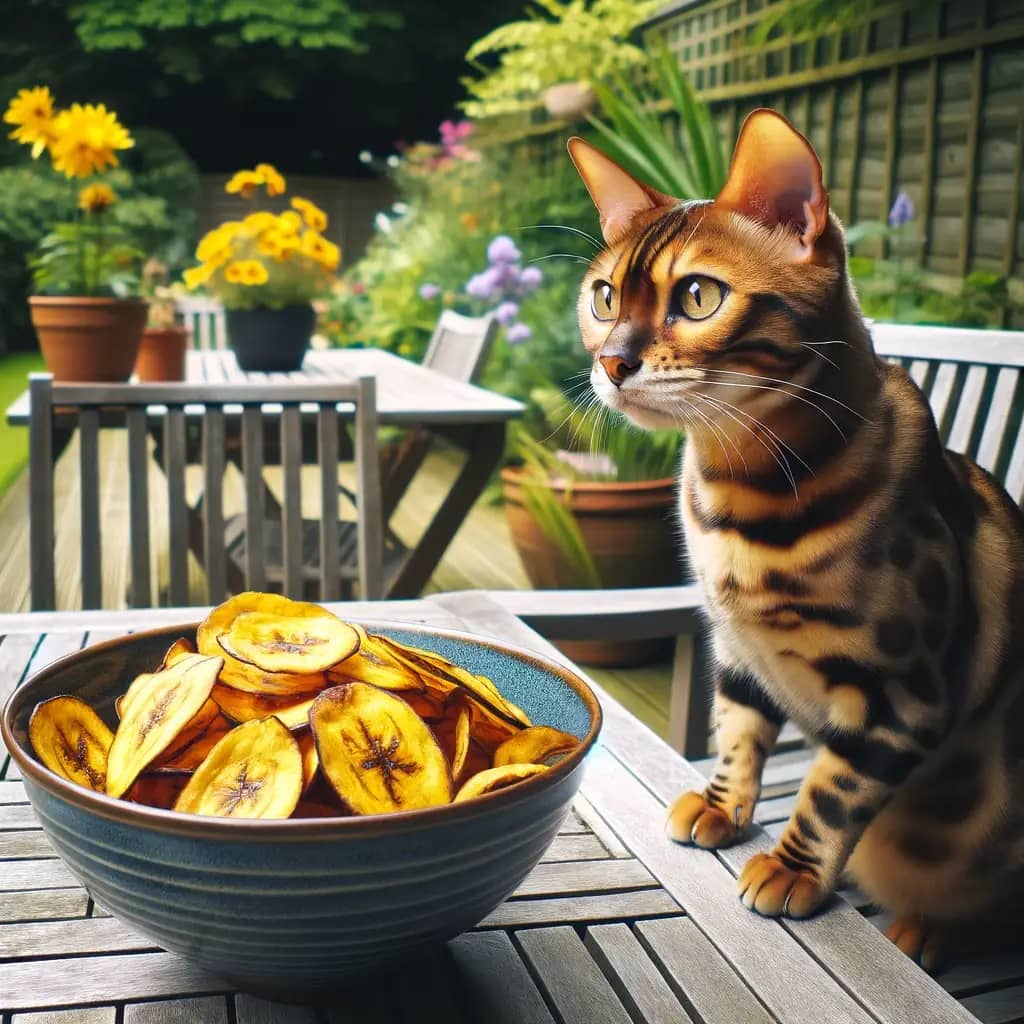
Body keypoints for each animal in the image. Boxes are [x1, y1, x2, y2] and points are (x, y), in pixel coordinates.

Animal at [569, 112, 1024, 966]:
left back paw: (926, 928)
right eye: (604, 297)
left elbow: (831, 793)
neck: (739, 499)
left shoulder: (900, 699)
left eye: (698, 295)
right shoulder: (738, 652)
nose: (610, 362)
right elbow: (738, 735)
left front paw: (791, 868)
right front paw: (723, 807)